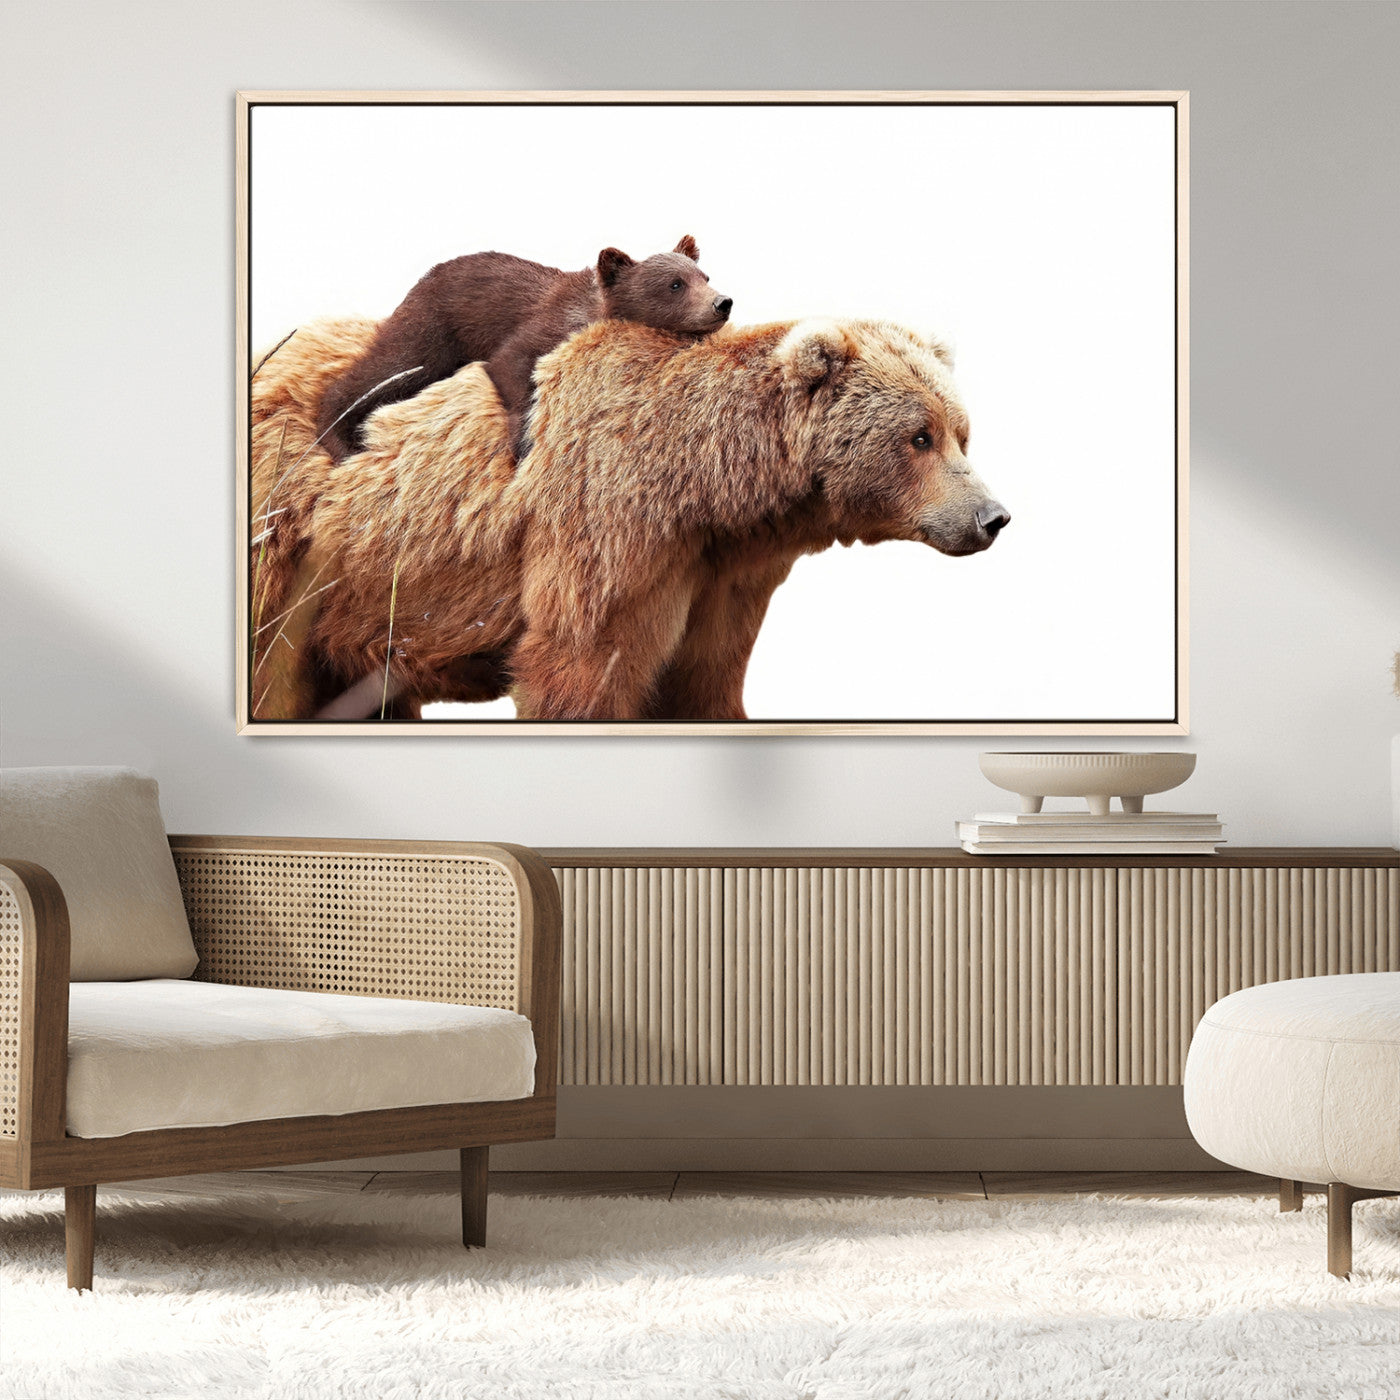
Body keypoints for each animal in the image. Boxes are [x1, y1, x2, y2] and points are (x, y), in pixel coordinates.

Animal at [249, 314, 1009, 723]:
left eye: (961, 432)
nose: (992, 516)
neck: (708, 490)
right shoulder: (608, 532)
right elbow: (581, 664)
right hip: (290, 547)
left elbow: (704, 677)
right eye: (919, 436)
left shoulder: (719, 577)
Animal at [314, 235, 731, 462]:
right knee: (389, 367)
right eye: (675, 284)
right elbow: (510, 364)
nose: (722, 302)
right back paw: (340, 438)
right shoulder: (541, 327)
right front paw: (523, 441)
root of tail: (423, 278)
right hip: (433, 328)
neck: (591, 311)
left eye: (705, 275)